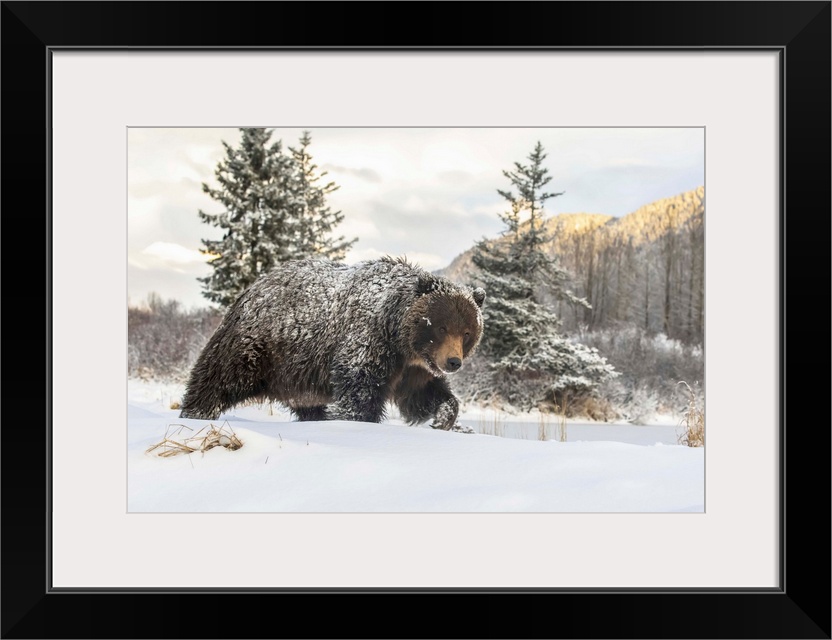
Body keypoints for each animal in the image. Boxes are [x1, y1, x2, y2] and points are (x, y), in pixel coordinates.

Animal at [179, 258, 484, 432]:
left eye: (467, 331)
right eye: (441, 326)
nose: (453, 362)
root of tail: (252, 288)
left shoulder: (413, 368)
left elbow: (423, 396)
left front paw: (443, 417)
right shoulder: (369, 342)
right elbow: (359, 392)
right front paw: (351, 419)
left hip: (298, 377)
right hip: (258, 347)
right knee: (219, 377)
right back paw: (196, 412)